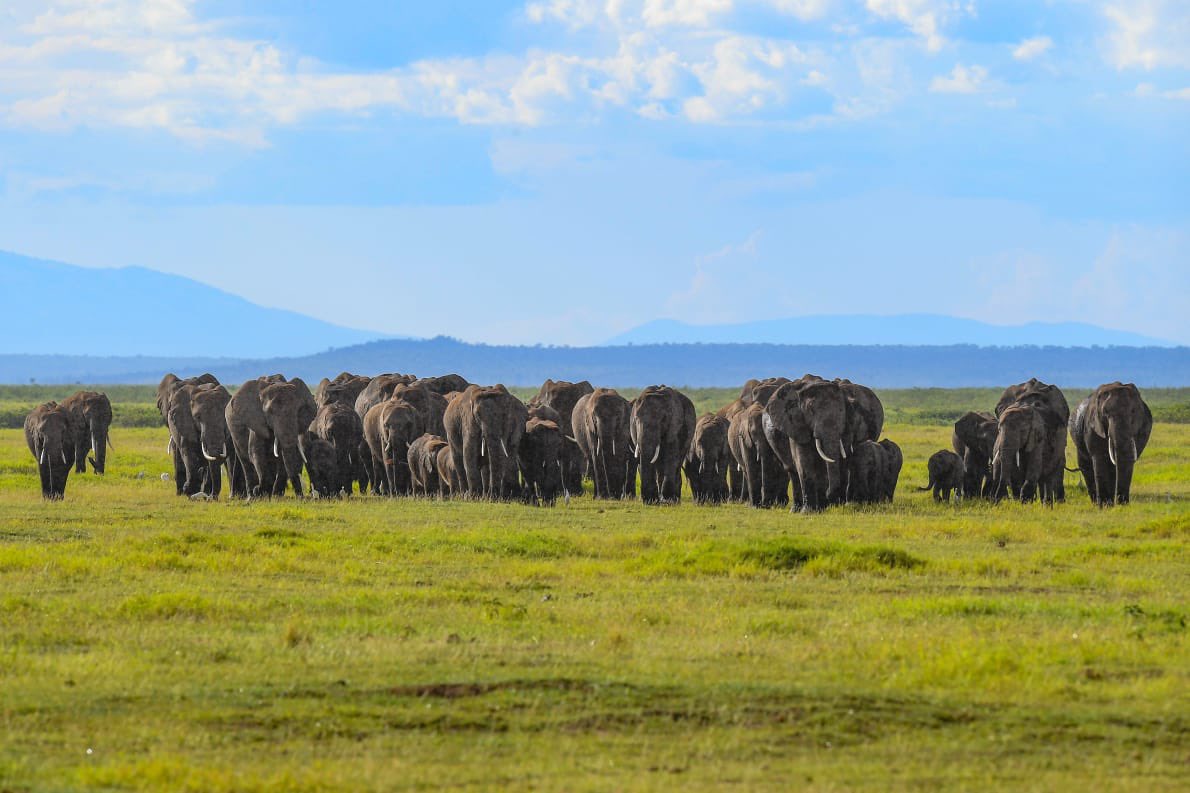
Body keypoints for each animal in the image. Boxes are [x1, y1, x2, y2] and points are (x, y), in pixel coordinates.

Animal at [764, 376, 848, 512]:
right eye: (810, 409)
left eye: (842, 410)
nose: (828, 494)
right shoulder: (796, 425)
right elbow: (804, 463)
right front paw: (808, 512)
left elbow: (821, 467)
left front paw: (821, 509)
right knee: (792, 471)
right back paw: (796, 509)